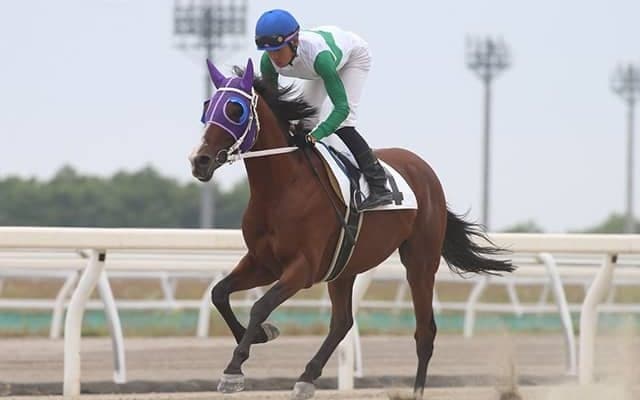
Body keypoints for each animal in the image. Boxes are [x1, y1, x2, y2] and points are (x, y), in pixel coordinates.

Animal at [189, 58, 514, 400]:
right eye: (207, 105)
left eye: (235, 109)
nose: (200, 160)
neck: (282, 190)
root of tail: (423, 168)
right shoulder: (263, 262)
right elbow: (219, 293)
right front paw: (261, 336)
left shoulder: (302, 269)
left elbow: (260, 305)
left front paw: (234, 369)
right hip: (345, 267)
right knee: (343, 321)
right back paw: (307, 377)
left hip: (421, 261)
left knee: (425, 331)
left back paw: (414, 391)